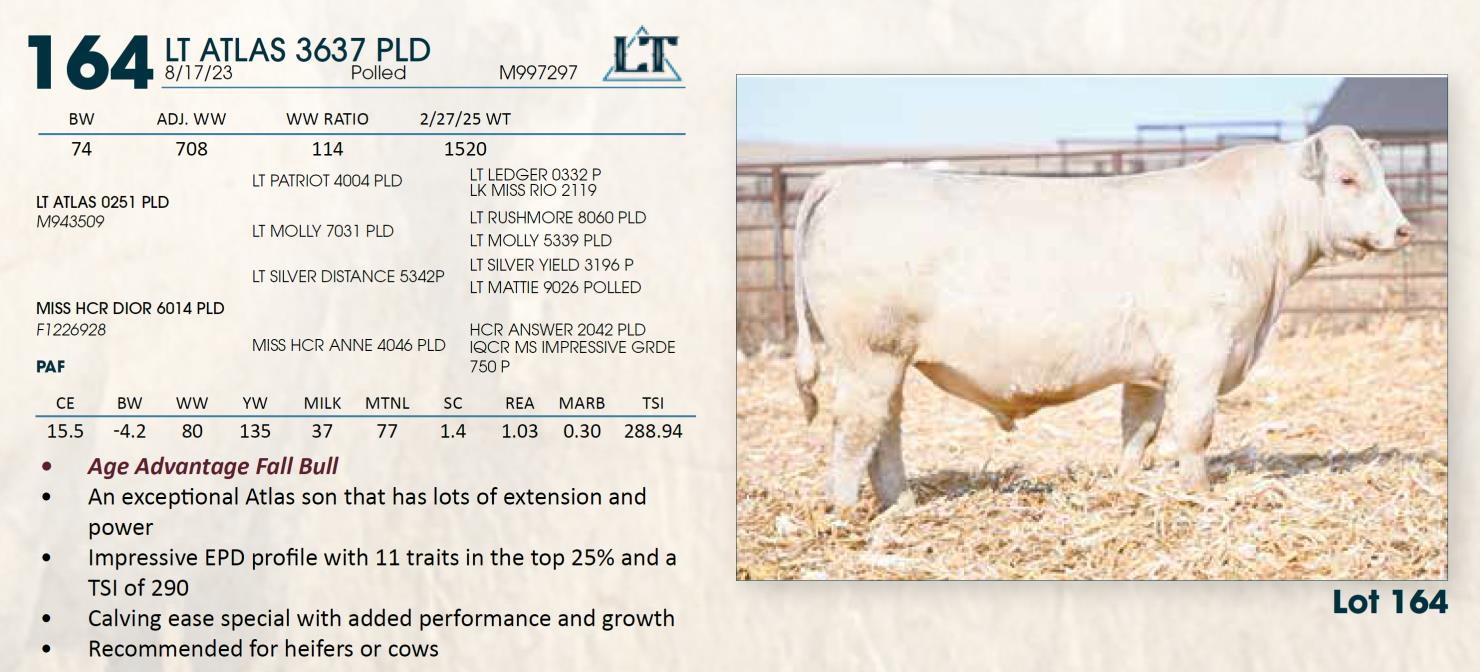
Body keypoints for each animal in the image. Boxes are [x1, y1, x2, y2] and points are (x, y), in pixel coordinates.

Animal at [791, 126, 1413, 510]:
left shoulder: (1151, 368)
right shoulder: (1203, 352)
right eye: (1348, 179)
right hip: (870, 354)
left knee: (885, 428)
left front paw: (1127, 484)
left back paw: (900, 503)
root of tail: (848, 177)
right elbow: (1195, 430)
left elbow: (1139, 430)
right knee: (857, 428)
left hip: (887, 360)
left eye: (1381, 175)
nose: (1403, 229)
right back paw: (845, 510)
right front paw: (1200, 494)